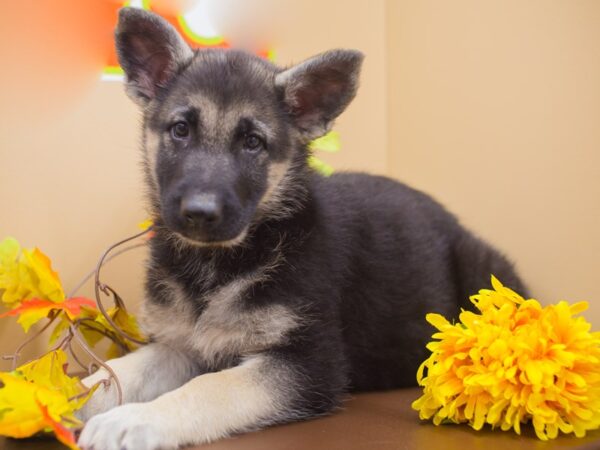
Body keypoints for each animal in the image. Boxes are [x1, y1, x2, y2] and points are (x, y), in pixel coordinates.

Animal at [77, 7, 528, 450]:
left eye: (253, 143)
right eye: (180, 130)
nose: (199, 213)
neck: (224, 261)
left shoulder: (308, 365)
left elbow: (209, 388)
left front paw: (136, 420)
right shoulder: (178, 344)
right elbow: (118, 371)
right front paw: (71, 398)